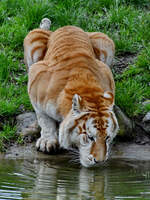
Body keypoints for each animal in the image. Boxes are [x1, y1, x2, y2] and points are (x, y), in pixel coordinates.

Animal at [24, 18, 118, 167]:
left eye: (107, 137)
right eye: (90, 137)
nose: (99, 161)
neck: (88, 92)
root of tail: (67, 26)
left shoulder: (106, 71)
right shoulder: (36, 75)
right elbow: (44, 119)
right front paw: (47, 141)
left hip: (105, 41)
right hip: (34, 41)